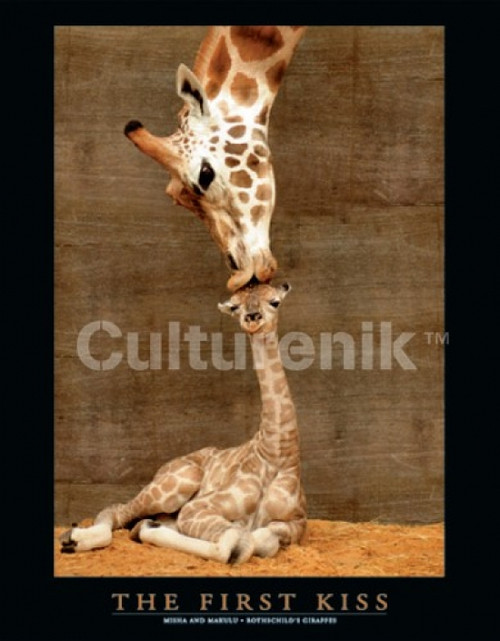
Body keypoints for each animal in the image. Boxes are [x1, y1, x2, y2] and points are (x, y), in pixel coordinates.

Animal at [60, 282, 306, 564]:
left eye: (275, 301)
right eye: (235, 307)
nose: (252, 317)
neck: (277, 453)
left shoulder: (298, 523)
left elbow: (263, 539)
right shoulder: (197, 507)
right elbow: (238, 542)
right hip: (178, 482)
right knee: (117, 510)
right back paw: (73, 538)